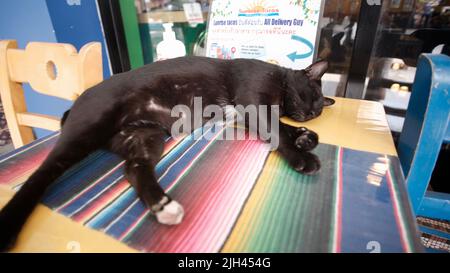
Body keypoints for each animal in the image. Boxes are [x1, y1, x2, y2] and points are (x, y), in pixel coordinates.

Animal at [0, 56, 330, 250]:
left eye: (317, 110)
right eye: (311, 95)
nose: (311, 112)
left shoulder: (250, 113)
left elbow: (280, 126)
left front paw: (305, 136)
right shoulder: (252, 101)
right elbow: (276, 130)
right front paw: (301, 155)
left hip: (145, 136)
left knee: (133, 168)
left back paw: (163, 205)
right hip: (87, 129)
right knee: (41, 174)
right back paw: (10, 223)